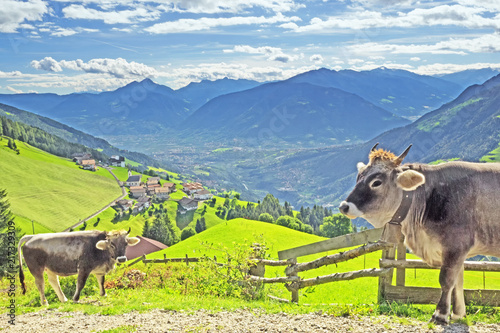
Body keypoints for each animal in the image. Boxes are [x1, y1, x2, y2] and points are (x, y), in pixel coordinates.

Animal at [340, 143, 500, 324]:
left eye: (376, 182)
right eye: (358, 177)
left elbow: (447, 280)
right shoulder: (457, 251)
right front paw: (458, 314)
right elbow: (458, 281)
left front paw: (440, 314)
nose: (344, 206)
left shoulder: (456, 245)